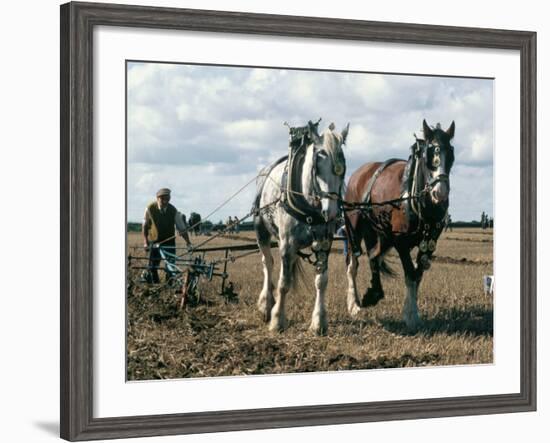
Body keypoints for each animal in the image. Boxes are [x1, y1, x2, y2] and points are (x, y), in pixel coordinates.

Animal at [344, 120, 458, 330]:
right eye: (428, 154)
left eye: (451, 154)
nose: (440, 192)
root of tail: (361, 172)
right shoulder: (401, 242)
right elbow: (410, 274)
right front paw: (411, 315)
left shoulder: (429, 243)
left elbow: (417, 275)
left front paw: (410, 311)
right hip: (353, 228)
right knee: (352, 263)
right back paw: (353, 304)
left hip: (381, 234)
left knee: (374, 256)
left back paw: (374, 293)